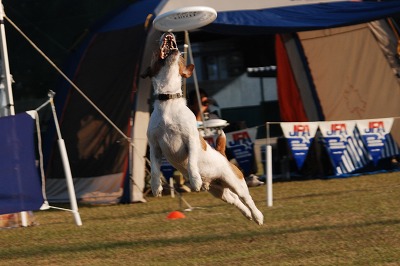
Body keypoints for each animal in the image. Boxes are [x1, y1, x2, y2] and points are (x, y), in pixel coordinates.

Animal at [142, 32, 264, 224]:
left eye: (181, 58)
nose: (169, 33)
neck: (168, 102)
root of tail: (223, 156)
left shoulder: (190, 140)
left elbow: (192, 162)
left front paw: (195, 180)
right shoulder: (155, 147)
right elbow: (154, 170)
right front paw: (156, 187)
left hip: (236, 183)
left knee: (247, 199)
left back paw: (257, 216)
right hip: (220, 192)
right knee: (236, 201)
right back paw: (247, 215)